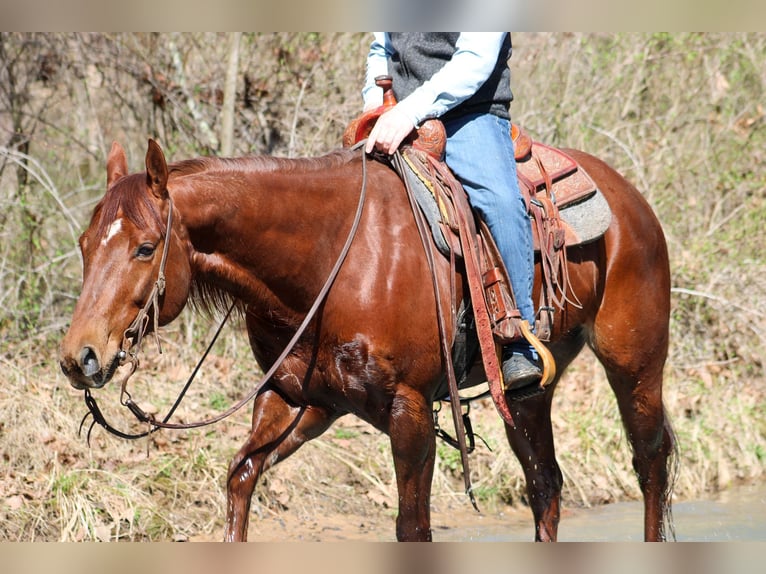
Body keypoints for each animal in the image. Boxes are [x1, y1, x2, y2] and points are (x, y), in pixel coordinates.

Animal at [59, 138, 676, 541]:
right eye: (86, 244)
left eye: (144, 248)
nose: (78, 358)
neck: (335, 260)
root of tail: (628, 198)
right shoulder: (298, 401)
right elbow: (240, 481)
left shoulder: (410, 411)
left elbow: (412, 526)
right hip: (527, 392)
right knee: (545, 483)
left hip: (634, 364)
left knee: (649, 461)